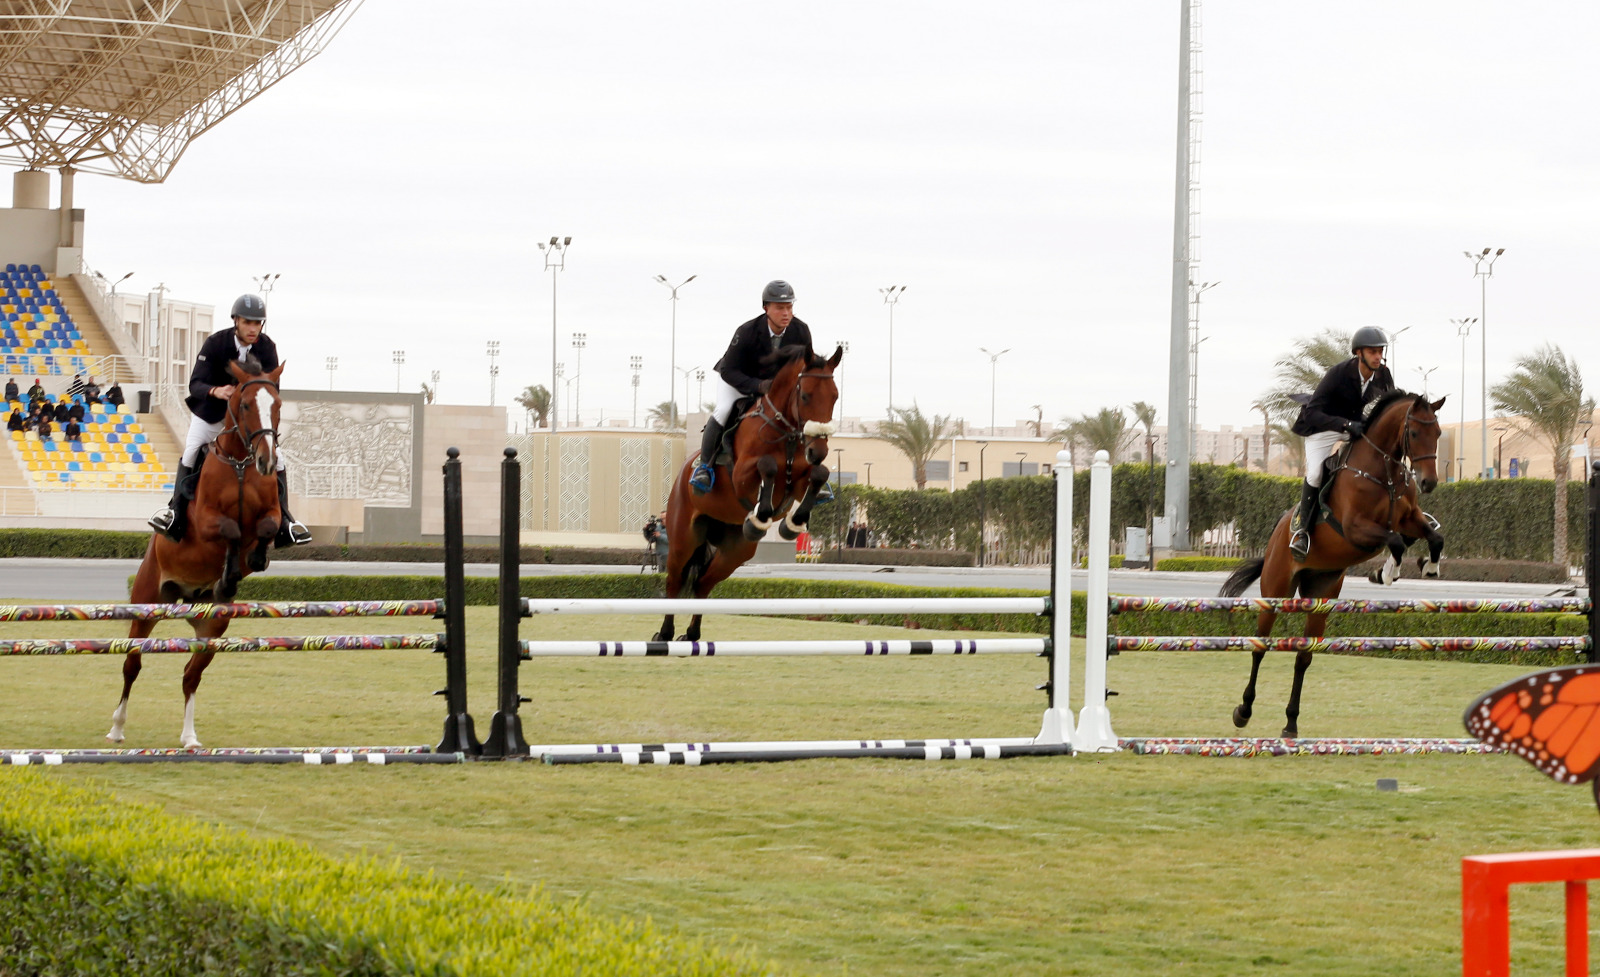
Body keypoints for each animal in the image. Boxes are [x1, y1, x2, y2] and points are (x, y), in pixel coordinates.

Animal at [109, 359, 288, 748]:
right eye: (245, 404)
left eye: (278, 404)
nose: (267, 461)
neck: (241, 464)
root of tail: (186, 600)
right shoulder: (206, 522)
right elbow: (231, 530)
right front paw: (231, 570)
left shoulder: (271, 513)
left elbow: (266, 529)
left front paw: (248, 565)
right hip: (147, 603)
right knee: (132, 663)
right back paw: (117, 727)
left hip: (212, 625)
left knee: (191, 674)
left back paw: (189, 737)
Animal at [652, 348, 844, 646]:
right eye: (805, 396)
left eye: (834, 396)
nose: (818, 450)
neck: (786, 434)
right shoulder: (741, 476)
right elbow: (768, 465)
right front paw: (761, 515)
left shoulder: (800, 481)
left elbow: (819, 474)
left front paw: (792, 524)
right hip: (683, 537)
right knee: (674, 580)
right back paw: (665, 633)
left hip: (736, 551)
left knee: (703, 583)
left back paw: (692, 634)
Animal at [1222, 390, 1452, 735]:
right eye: (1413, 433)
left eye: (1437, 432)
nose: (1429, 483)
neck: (1383, 472)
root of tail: (1276, 536)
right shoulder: (1356, 528)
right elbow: (1396, 541)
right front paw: (1388, 572)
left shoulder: (1410, 519)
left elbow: (1432, 538)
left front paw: (1427, 566)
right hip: (1276, 591)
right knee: (1260, 646)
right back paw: (1243, 710)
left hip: (1321, 594)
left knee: (1303, 657)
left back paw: (1291, 723)